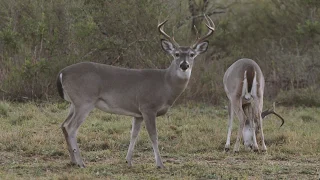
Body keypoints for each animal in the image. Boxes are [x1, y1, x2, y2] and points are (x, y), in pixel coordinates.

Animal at [56, 15, 215, 167]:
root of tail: (62, 72)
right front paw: (160, 164)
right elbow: (153, 136)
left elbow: (134, 135)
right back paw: (81, 162)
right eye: (176, 54)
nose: (184, 65)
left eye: (192, 54)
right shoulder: (148, 107)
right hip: (85, 101)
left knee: (63, 125)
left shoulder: (137, 113)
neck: (165, 84)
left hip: (74, 103)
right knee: (71, 128)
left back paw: (73, 161)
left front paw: (128, 160)